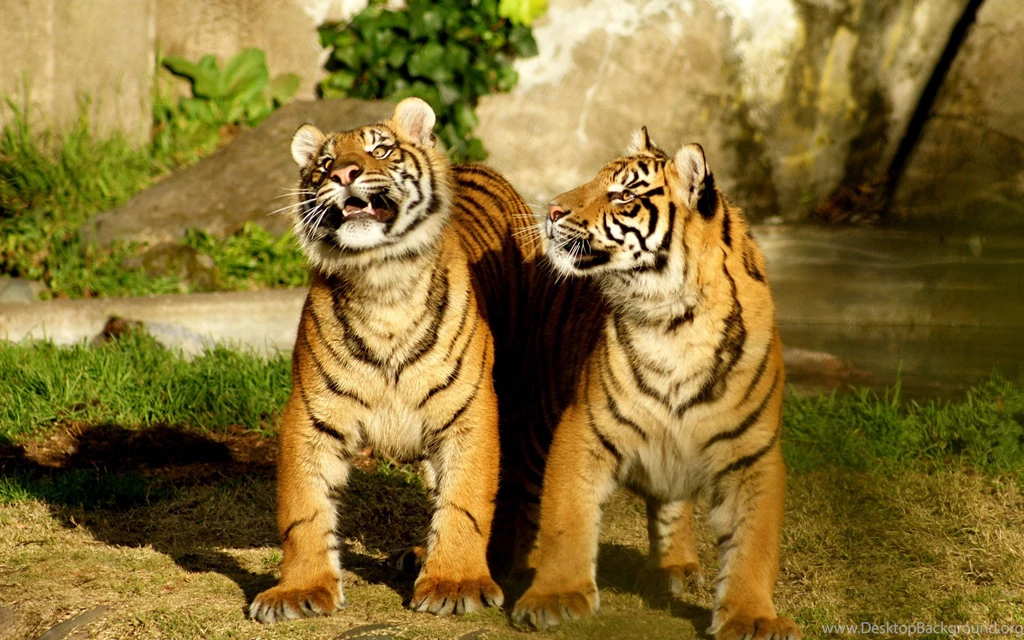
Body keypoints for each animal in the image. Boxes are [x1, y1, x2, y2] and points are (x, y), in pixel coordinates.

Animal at [249, 97, 537, 623]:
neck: (381, 282)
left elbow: (466, 501)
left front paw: (455, 583)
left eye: (379, 149)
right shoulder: (310, 415)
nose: (343, 173)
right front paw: (299, 590)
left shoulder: (470, 414)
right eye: (324, 162)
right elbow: (304, 509)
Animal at [509, 128, 801, 640]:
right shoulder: (581, 429)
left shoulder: (753, 453)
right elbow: (566, 519)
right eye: (595, 179)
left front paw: (752, 617)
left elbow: (754, 545)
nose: (552, 211)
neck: (675, 322)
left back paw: (674, 569)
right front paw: (555, 596)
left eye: (623, 195)